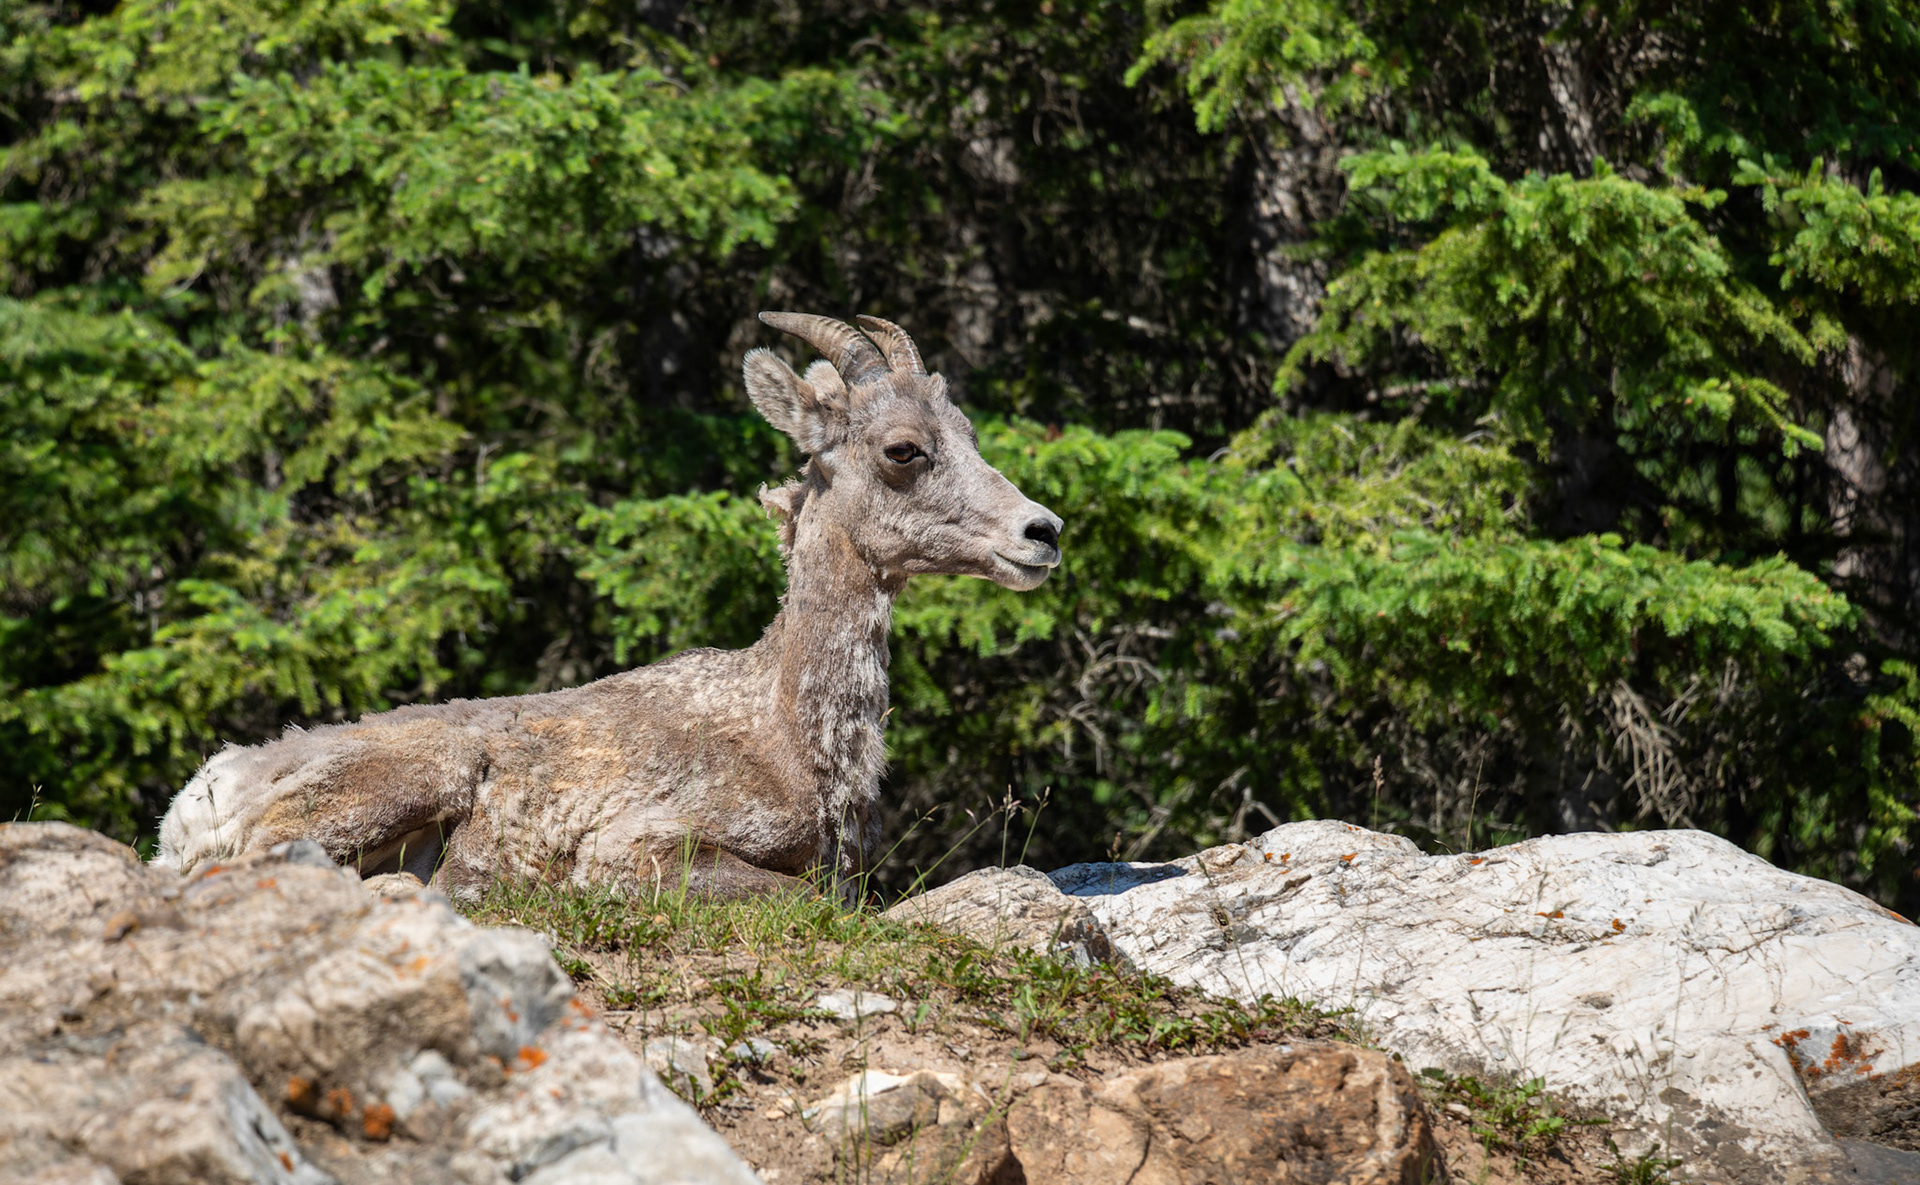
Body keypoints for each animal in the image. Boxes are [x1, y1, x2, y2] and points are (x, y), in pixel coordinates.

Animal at [154, 313, 1064, 901]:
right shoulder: (642, 846)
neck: (792, 735)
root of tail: (199, 796)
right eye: (903, 449)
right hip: (407, 776)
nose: (1043, 531)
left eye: (969, 433)